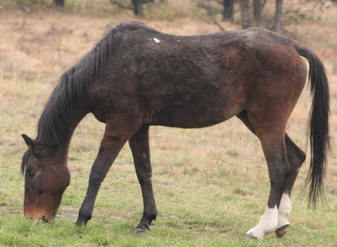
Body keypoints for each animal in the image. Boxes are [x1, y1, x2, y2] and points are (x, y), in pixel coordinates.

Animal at [20, 21, 328, 239]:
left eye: (32, 172)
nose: (34, 218)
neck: (107, 65)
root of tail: (292, 46)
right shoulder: (139, 127)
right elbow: (143, 172)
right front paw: (145, 220)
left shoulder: (121, 124)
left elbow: (98, 171)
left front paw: (82, 218)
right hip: (254, 120)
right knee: (296, 159)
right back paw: (281, 224)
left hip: (266, 121)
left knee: (279, 169)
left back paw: (260, 229)